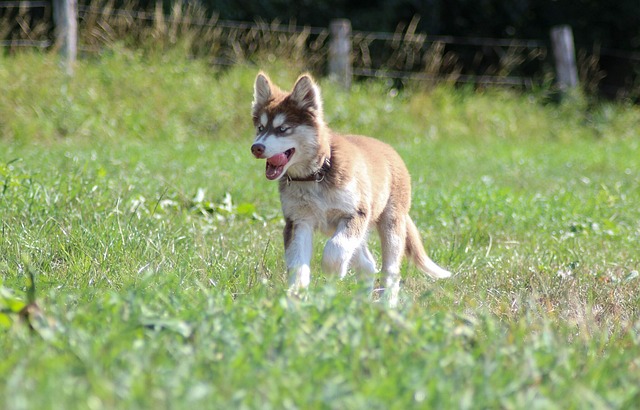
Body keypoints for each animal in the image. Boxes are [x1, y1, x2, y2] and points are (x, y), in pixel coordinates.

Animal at [250, 73, 450, 304]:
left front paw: (333, 272)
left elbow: (334, 249)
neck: (316, 176)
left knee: (390, 270)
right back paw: (360, 302)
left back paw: (387, 304)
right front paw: (296, 298)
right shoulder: (298, 221)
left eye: (283, 129)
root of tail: (389, 150)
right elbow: (298, 265)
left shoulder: (355, 213)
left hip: (391, 224)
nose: (256, 148)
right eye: (260, 128)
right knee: (369, 265)